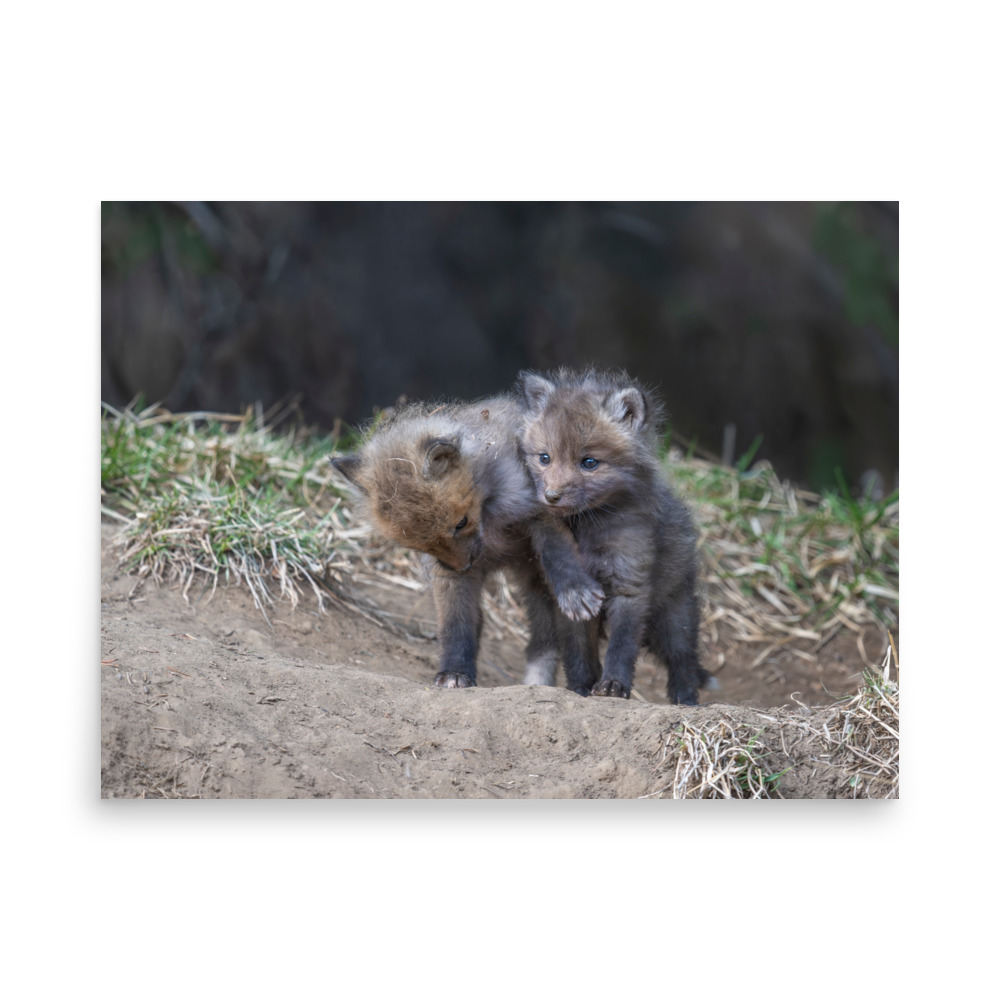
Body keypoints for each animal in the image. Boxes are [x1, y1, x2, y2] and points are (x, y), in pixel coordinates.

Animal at [331, 395, 605, 690]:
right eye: (419, 545)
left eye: (461, 523)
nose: (463, 566)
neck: (490, 519)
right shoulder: (446, 573)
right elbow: (455, 624)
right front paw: (455, 672)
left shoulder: (541, 510)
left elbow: (558, 553)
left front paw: (574, 590)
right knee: (542, 642)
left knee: (572, 643)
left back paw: (582, 686)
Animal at [517, 367, 709, 705]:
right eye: (544, 458)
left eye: (589, 463)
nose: (551, 496)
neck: (589, 530)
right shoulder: (571, 600)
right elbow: (578, 652)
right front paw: (580, 688)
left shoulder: (629, 584)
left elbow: (621, 646)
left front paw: (613, 686)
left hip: (674, 617)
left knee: (683, 659)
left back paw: (685, 701)